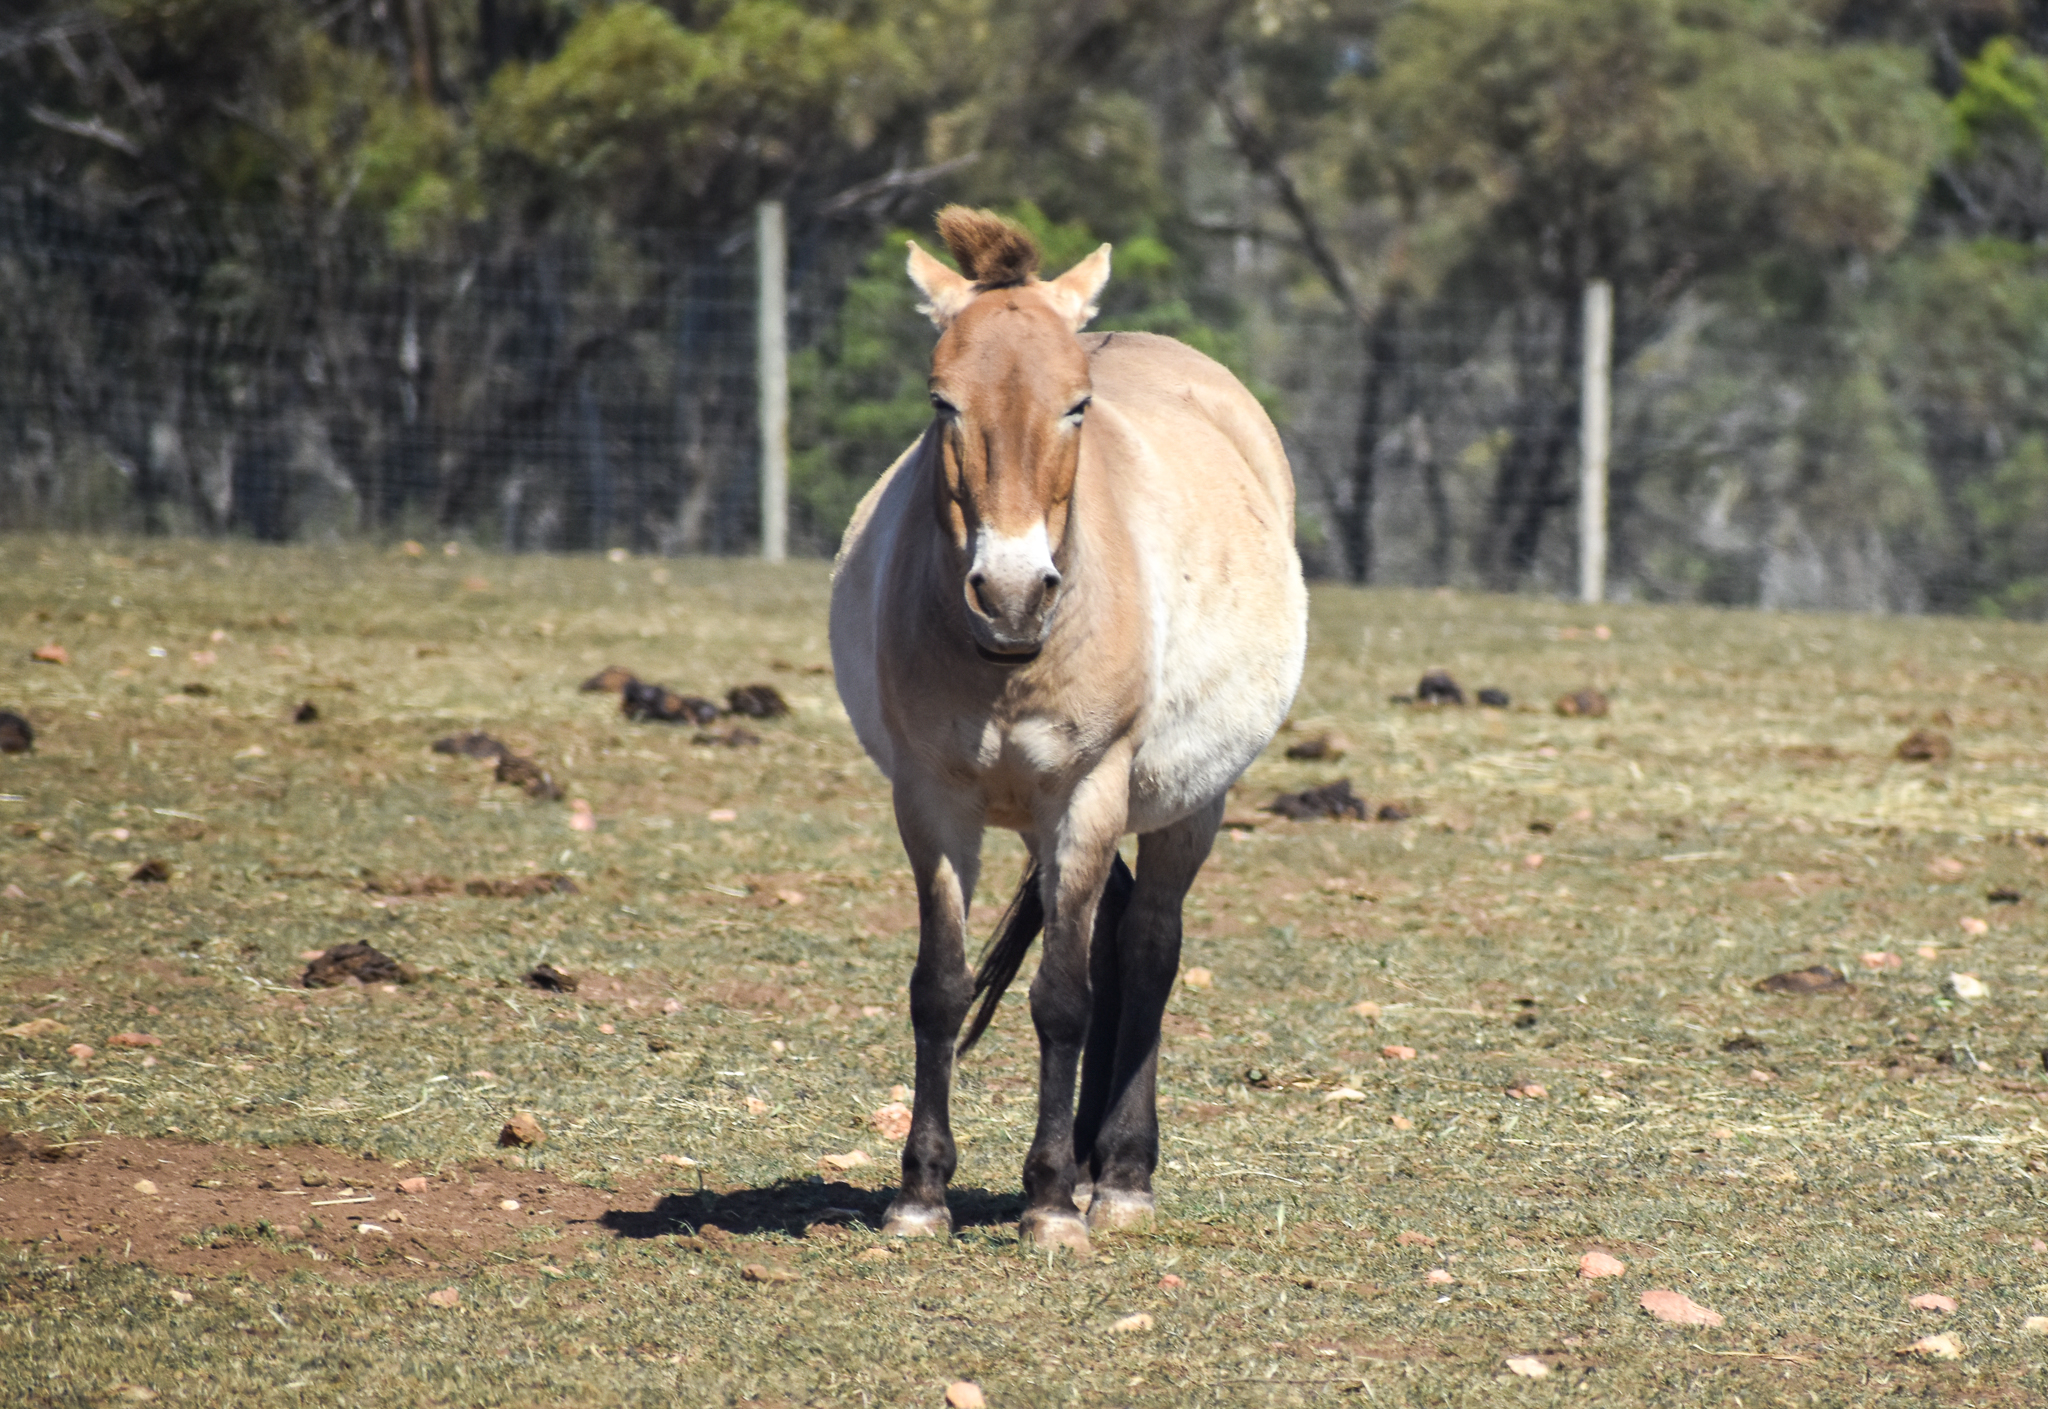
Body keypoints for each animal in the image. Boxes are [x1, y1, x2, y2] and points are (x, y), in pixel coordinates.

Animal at [829, 207, 1306, 1253]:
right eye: (942, 403)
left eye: (1077, 405)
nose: (1011, 594)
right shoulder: (931, 801)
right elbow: (942, 985)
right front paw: (920, 1192)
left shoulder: (1089, 793)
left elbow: (1062, 996)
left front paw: (1049, 1202)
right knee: (1115, 935)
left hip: (1184, 802)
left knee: (1150, 945)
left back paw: (1119, 1173)